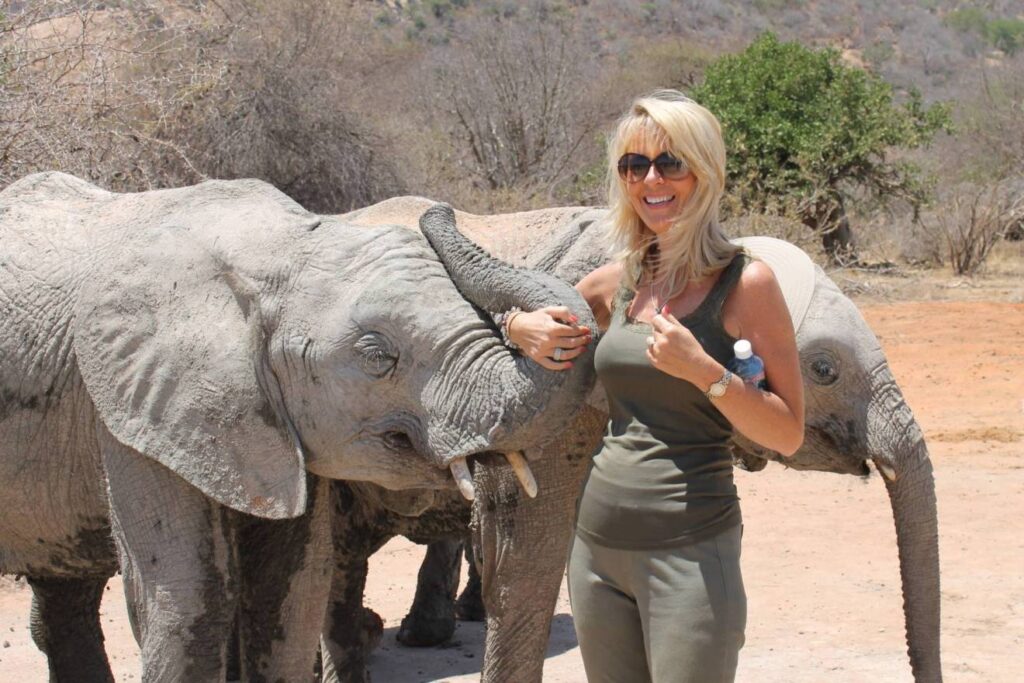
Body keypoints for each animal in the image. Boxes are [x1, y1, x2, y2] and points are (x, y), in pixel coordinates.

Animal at [0, 175, 598, 683]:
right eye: (377, 357)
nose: (440, 212)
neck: (279, 251)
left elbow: (292, 592)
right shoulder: (125, 411)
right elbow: (189, 601)